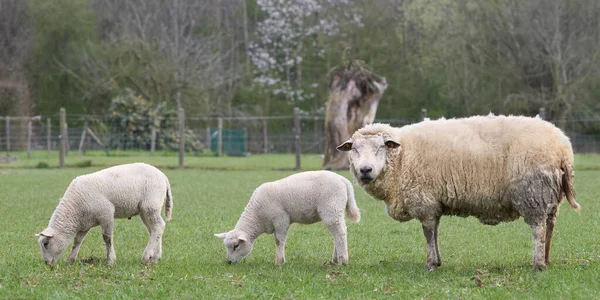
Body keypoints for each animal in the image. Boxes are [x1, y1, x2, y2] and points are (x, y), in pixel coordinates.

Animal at [36, 163, 173, 264]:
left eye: (46, 244)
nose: (47, 263)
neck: (75, 209)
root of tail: (163, 176)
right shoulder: (85, 223)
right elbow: (77, 240)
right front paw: (70, 259)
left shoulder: (106, 213)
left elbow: (107, 238)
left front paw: (110, 260)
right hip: (146, 210)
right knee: (154, 230)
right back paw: (155, 258)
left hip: (150, 205)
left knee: (159, 226)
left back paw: (146, 257)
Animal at [214, 171, 358, 264]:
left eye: (236, 246)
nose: (229, 262)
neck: (257, 217)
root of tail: (344, 181)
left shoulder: (281, 220)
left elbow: (279, 240)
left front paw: (279, 262)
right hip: (335, 211)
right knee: (337, 234)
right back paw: (335, 259)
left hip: (331, 209)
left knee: (340, 233)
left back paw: (343, 260)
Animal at [336, 115, 580, 272]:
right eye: (354, 149)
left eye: (381, 147)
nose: (365, 170)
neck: (402, 156)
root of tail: (563, 148)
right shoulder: (434, 202)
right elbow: (434, 232)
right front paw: (437, 261)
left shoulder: (424, 200)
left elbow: (428, 233)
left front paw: (430, 264)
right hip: (550, 196)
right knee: (550, 227)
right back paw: (546, 259)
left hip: (533, 193)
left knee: (538, 229)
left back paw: (537, 264)